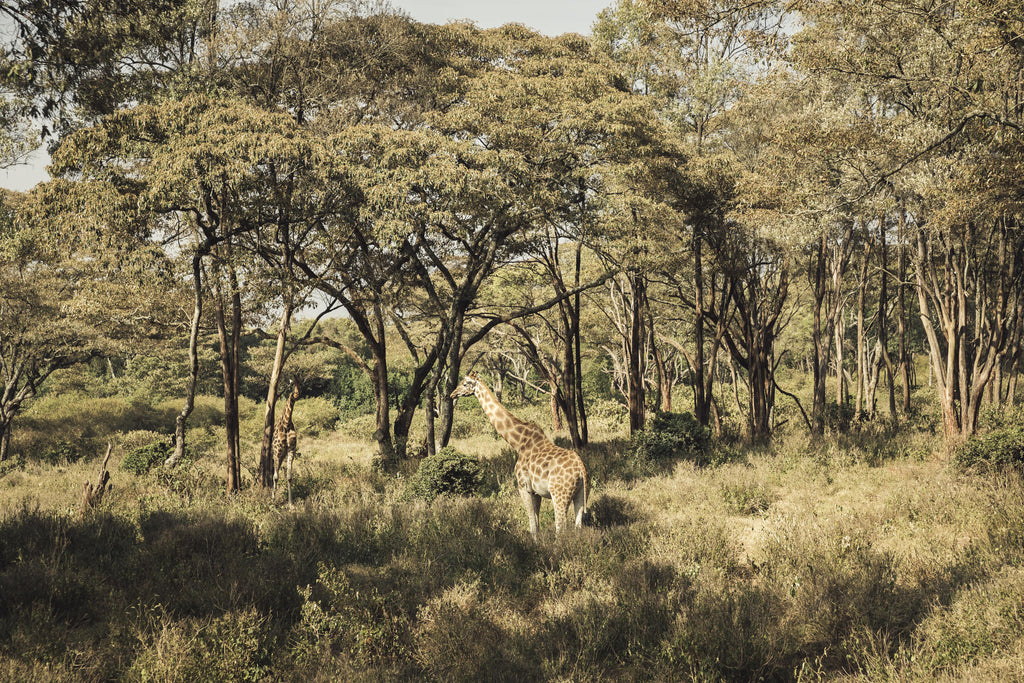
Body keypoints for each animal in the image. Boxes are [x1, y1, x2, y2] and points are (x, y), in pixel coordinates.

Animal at [451, 371, 589, 539]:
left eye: (465, 384)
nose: (452, 394)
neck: (518, 442)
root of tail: (581, 469)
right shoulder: (536, 492)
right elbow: (536, 522)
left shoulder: (523, 487)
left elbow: (532, 525)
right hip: (580, 494)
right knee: (578, 525)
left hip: (559, 495)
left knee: (560, 528)